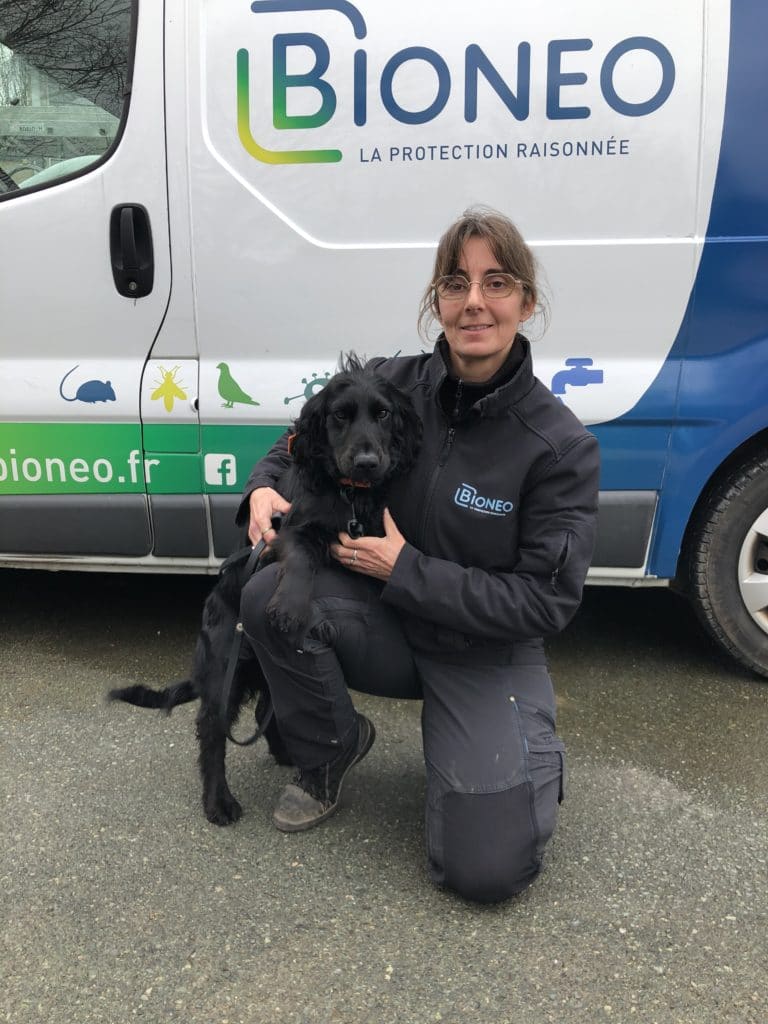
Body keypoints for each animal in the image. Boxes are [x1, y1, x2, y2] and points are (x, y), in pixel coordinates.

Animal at [108, 352, 421, 823]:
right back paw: (218, 801)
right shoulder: (289, 530)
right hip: (225, 667)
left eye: (383, 414)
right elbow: (303, 556)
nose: (367, 461)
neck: (349, 495)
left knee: (265, 709)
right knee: (211, 731)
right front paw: (290, 608)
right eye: (339, 416)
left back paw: (289, 755)